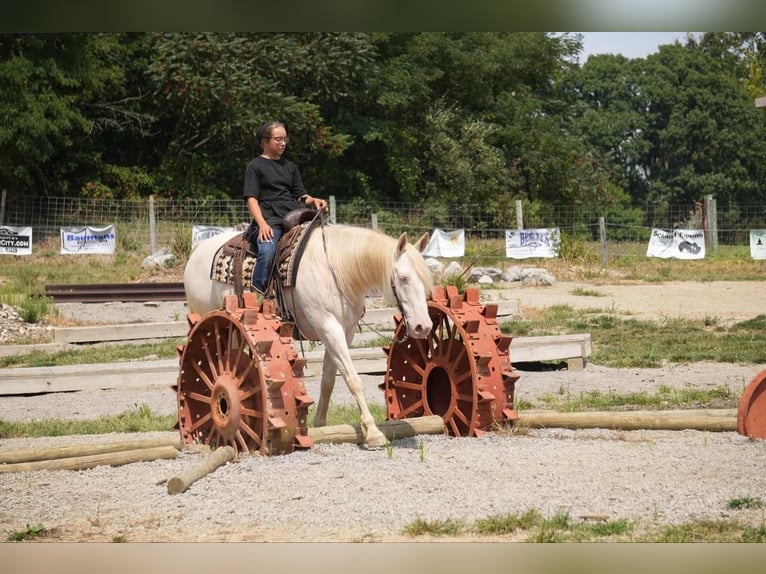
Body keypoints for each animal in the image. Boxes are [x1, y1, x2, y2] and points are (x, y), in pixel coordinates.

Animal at [180, 225, 432, 450]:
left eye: (427, 278)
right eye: (403, 277)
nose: (424, 326)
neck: (335, 270)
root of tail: (199, 250)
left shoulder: (344, 331)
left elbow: (328, 381)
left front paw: (321, 426)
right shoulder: (328, 327)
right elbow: (353, 379)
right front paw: (373, 433)